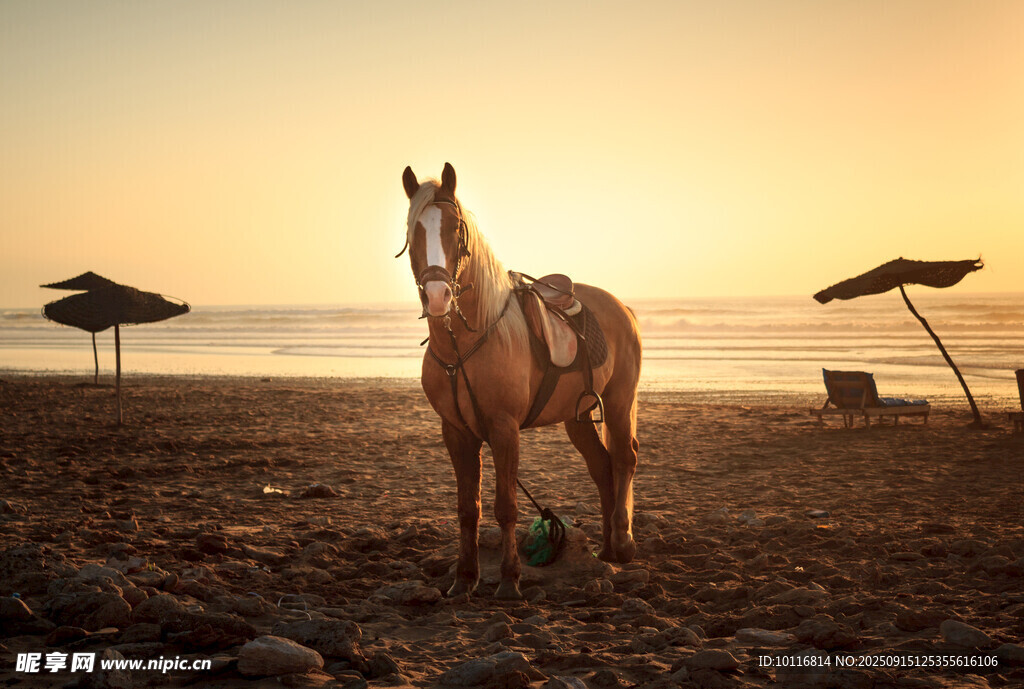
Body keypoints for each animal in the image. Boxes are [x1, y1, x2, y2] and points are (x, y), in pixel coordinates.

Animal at [400, 163, 642, 600]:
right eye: (414, 232)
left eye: (456, 229)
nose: (438, 296)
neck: (468, 343)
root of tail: (622, 307)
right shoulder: (456, 432)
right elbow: (468, 509)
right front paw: (464, 580)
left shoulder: (504, 429)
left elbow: (506, 507)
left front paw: (510, 581)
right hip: (577, 416)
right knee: (602, 466)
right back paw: (605, 549)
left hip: (619, 401)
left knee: (624, 459)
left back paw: (623, 543)